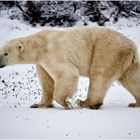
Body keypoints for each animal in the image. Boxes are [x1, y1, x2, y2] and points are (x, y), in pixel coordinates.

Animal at [0, 26, 140, 109]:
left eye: (6, 53)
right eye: (0, 51)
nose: (0, 63)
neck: (39, 44)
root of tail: (131, 46)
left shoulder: (52, 52)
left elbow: (67, 73)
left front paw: (66, 103)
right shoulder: (41, 62)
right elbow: (47, 82)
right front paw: (38, 104)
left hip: (106, 50)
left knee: (99, 75)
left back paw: (85, 102)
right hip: (127, 62)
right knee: (131, 79)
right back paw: (135, 103)